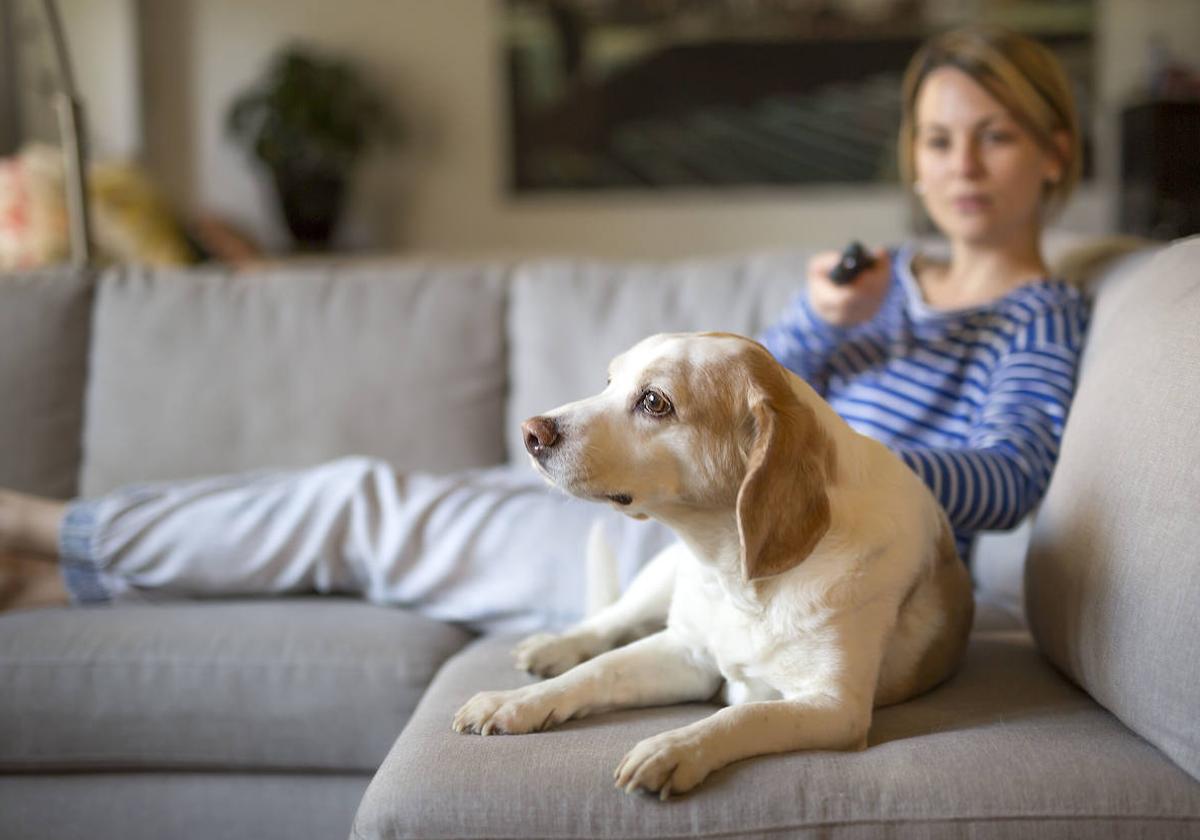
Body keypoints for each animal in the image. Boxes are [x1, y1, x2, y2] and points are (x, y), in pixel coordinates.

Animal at [451, 328, 974, 801]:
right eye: (609, 381)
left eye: (654, 401)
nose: (530, 432)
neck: (736, 579)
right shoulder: (685, 651)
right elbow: (597, 671)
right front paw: (516, 702)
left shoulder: (835, 707)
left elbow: (743, 714)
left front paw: (673, 747)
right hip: (659, 580)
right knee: (608, 623)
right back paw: (555, 646)